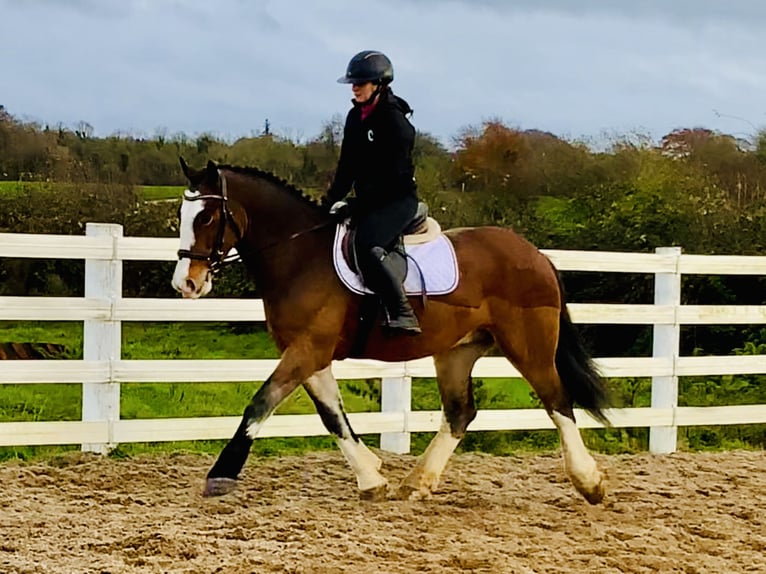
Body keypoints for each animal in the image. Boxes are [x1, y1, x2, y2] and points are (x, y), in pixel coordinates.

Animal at [171, 159, 611, 505]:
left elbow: (260, 404)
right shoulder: (309, 354)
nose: (186, 284)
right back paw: (417, 483)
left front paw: (221, 475)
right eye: (181, 217)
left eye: (206, 217)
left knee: (557, 401)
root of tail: (535, 254)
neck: (300, 256)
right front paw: (371, 478)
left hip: (528, 345)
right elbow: (332, 416)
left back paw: (589, 483)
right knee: (460, 413)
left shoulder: (307, 350)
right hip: (457, 351)